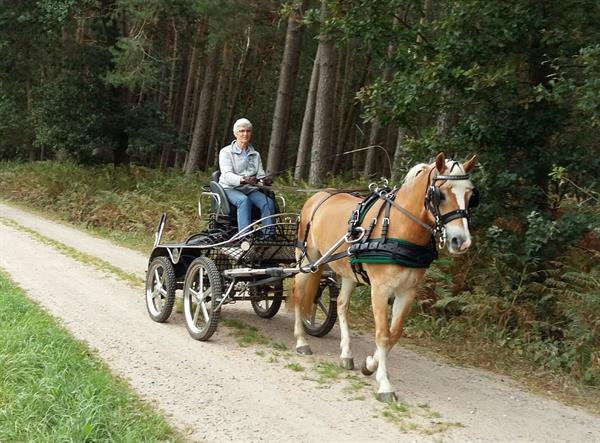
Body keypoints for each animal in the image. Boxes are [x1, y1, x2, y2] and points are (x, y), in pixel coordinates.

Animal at [290, 152, 478, 402]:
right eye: (441, 194)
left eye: (470, 195)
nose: (462, 241)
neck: (400, 227)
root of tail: (319, 195)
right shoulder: (380, 289)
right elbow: (382, 334)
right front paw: (385, 385)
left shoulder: (408, 290)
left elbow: (394, 334)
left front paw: (370, 365)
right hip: (308, 259)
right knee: (299, 295)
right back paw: (301, 340)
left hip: (347, 271)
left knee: (341, 305)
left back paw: (346, 354)